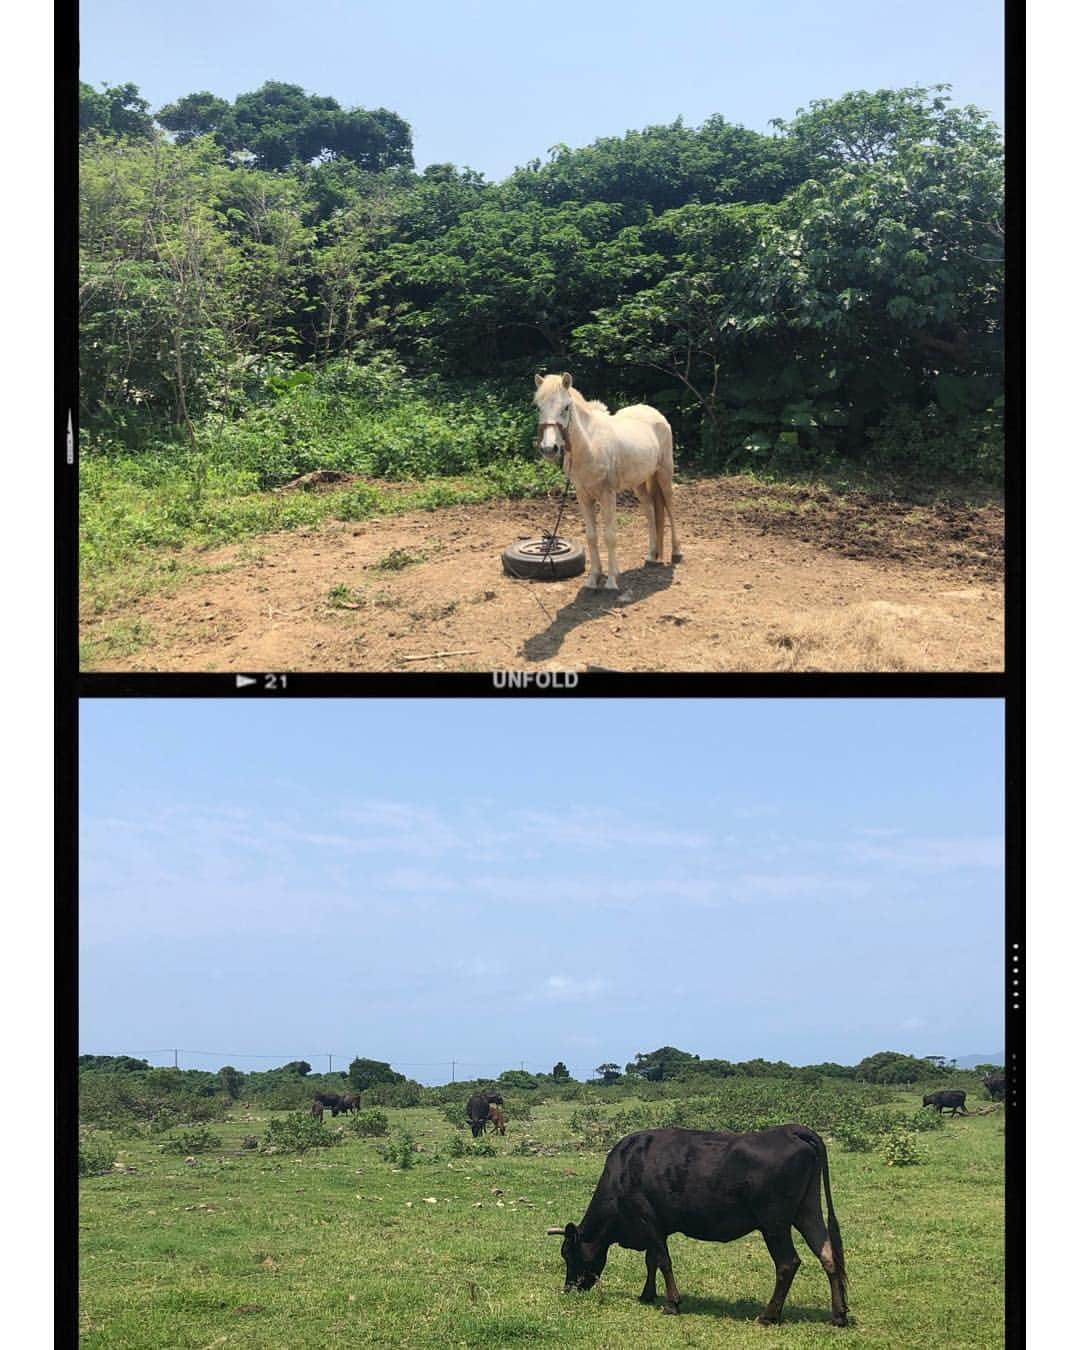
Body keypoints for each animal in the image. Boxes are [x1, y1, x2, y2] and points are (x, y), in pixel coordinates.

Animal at [534, 378, 683, 594]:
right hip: (639, 483)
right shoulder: (583, 496)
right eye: (538, 407)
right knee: (650, 512)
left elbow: (610, 536)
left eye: (566, 407)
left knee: (670, 508)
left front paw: (612, 581)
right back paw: (651, 555)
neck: (590, 445)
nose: (549, 449)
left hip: (664, 474)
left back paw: (677, 552)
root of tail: (655, 414)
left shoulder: (607, 495)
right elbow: (591, 536)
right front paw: (593, 579)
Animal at [548, 1123, 842, 1323]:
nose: (570, 1288)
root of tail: (790, 1130)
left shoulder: (647, 1219)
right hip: (808, 1212)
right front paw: (647, 1294)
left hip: (775, 1223)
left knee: (788, 1263)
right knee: (828, 1254)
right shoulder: (657, 1227)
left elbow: (663, 1261)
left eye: (568, 1254)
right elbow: (652, 1261)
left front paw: (672, 1304)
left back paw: (768, 1315)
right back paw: (839, 1315)